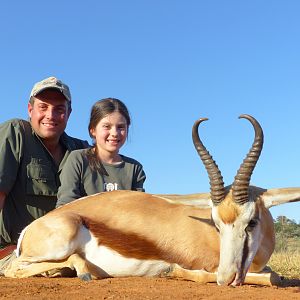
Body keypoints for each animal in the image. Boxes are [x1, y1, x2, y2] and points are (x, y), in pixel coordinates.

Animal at [4, 114, 300, 286]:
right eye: (216, 224)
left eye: (252, 221)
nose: (227, 279)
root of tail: (28, 230)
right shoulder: (208, 266)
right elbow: (272, 277)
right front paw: (173, 272)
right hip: (59, 242)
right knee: (13, 269)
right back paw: (85, 271)